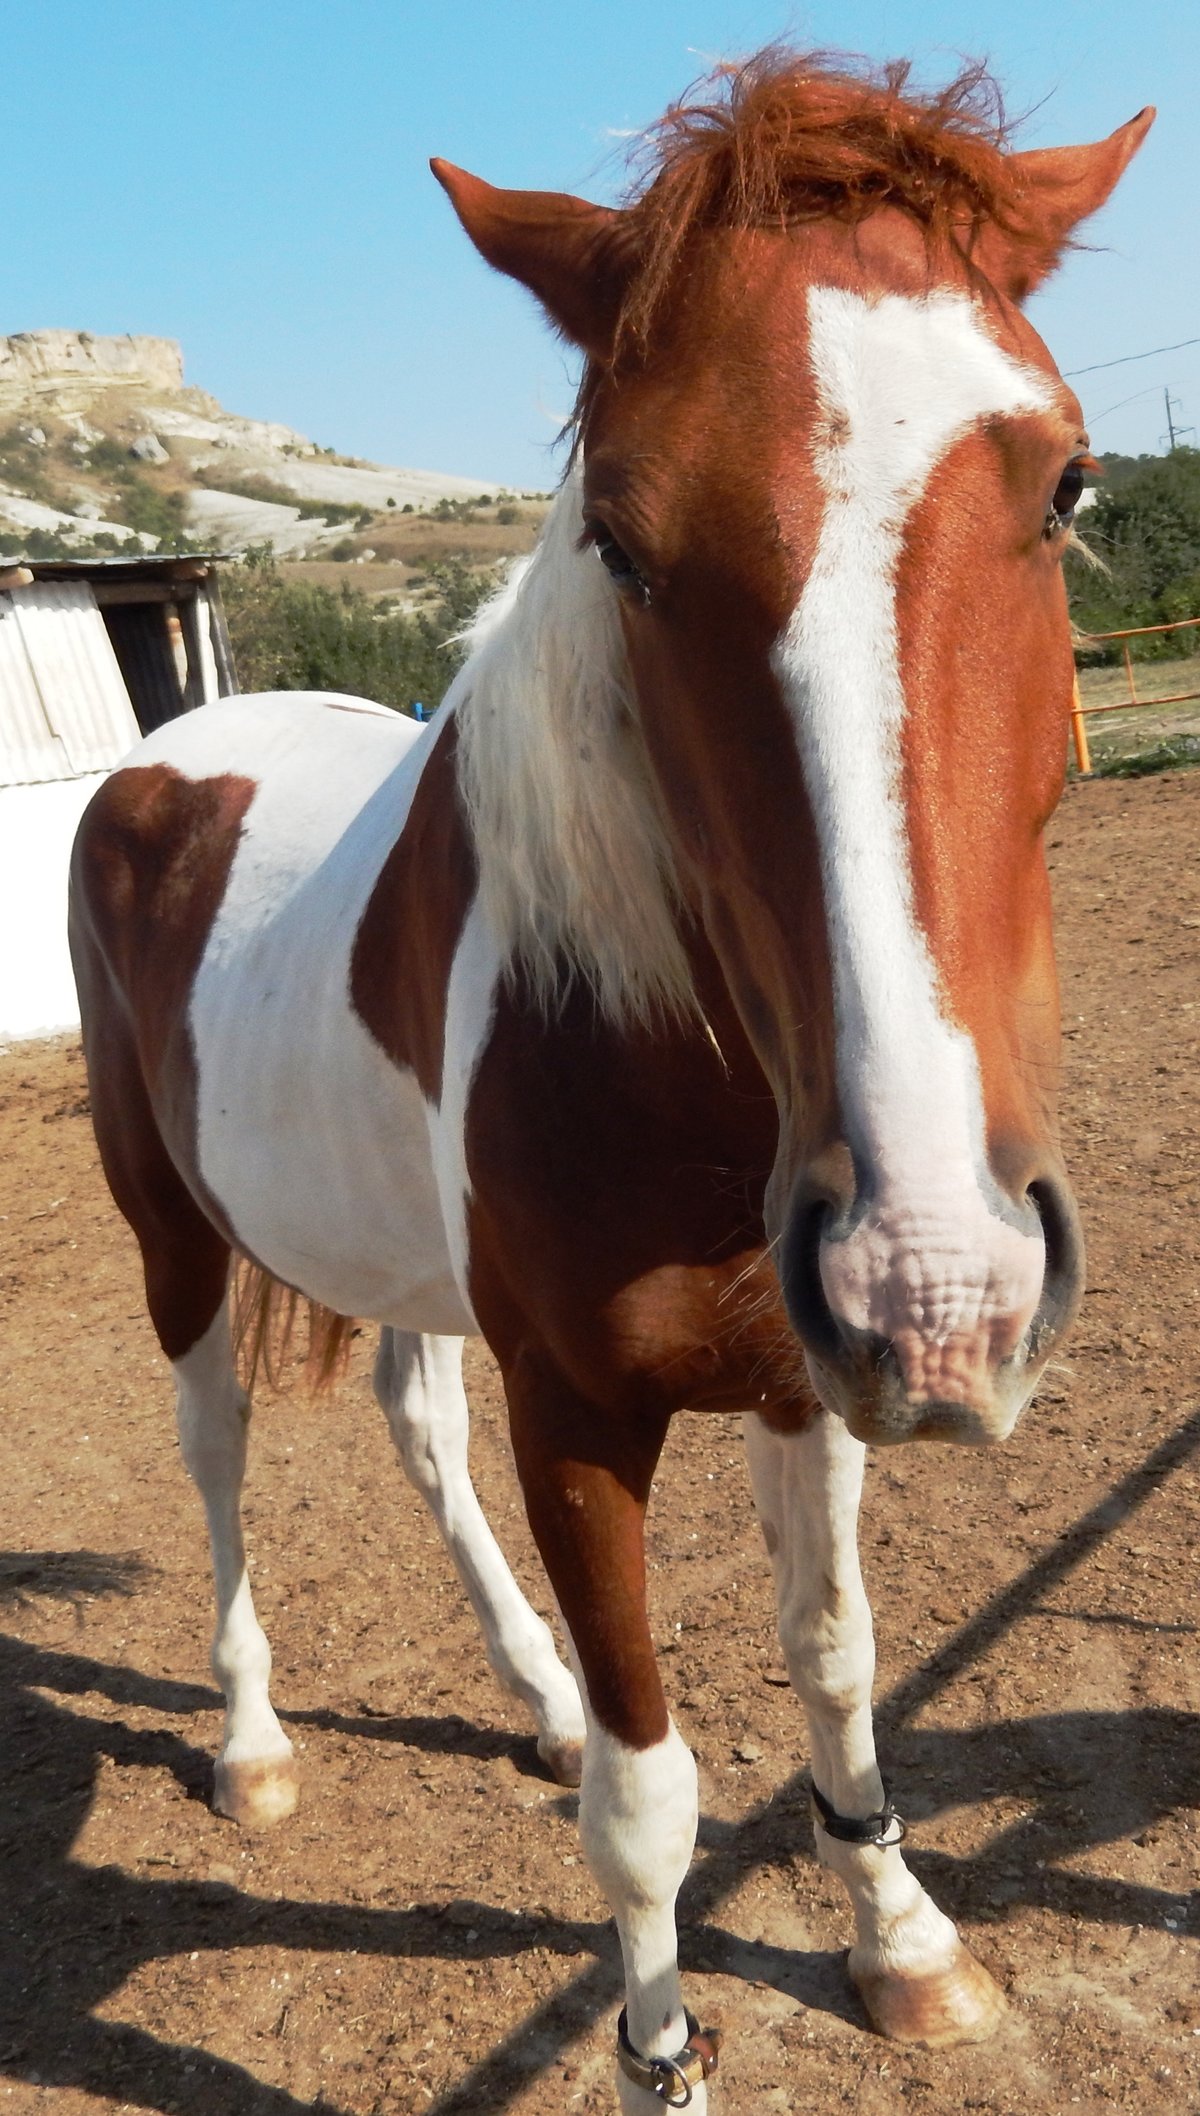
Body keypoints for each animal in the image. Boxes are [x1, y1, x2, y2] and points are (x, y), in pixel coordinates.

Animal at [69, 51, 1151, 2111]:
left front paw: (903, 1936)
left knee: (414, 1420)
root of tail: (173, 753)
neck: (673, 1057)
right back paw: (253, 1741)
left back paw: (535, 1692)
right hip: (170, 1235)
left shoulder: (807, 1373)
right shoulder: (582, 1417)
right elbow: (654, 1809)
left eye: (1065, 484)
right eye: (623, 544)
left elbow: (839, 1659)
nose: (949, 1284)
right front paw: (664, 2047)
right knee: (216, 1447)